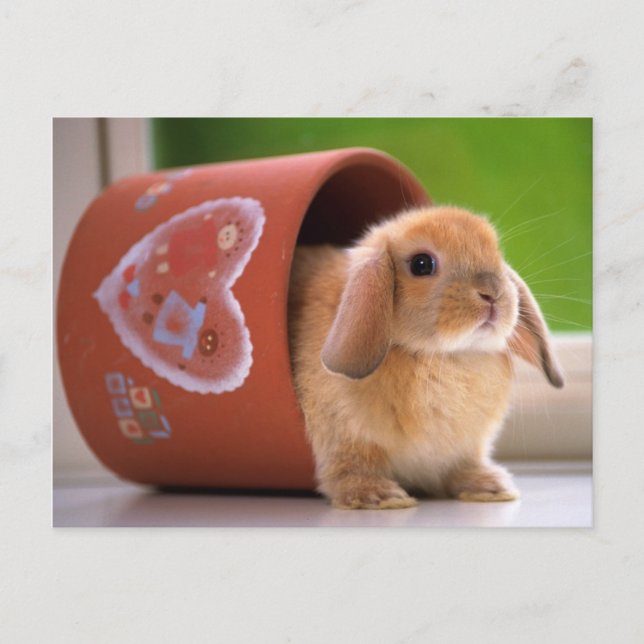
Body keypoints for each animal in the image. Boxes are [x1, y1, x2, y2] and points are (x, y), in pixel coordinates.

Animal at [288, 206, 564, 509]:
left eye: (497, 254)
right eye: (422, 265)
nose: (492, 293)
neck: (442, 356)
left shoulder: (466, 449)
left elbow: (463, 467)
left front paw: (491, 488)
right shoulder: (346, 439)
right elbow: (349, 468)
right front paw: (381, 497)